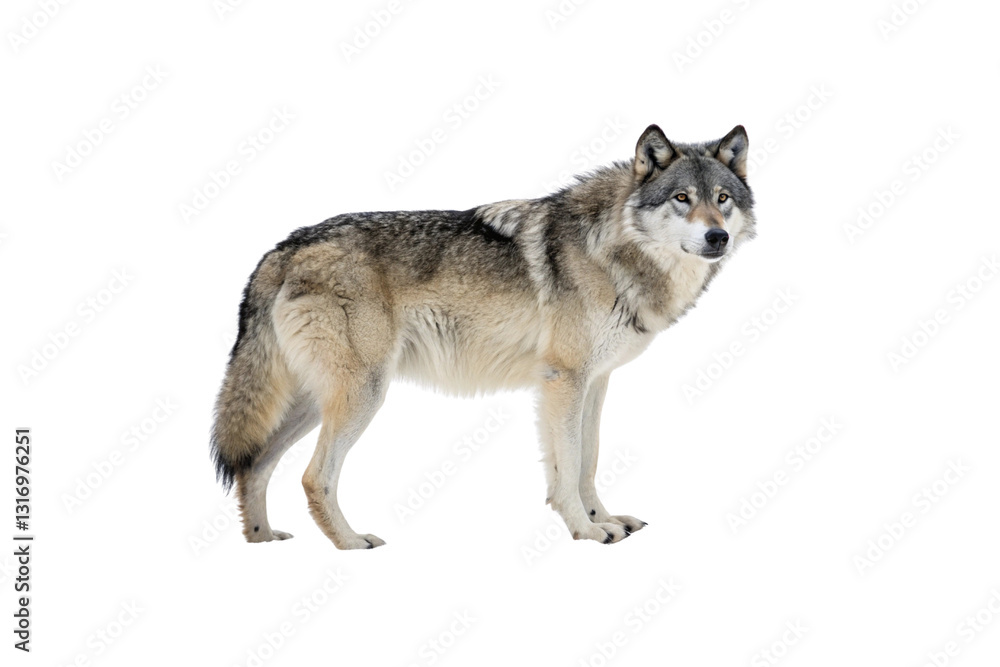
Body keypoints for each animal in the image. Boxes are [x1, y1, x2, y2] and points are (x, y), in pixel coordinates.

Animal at [210, 124, 756, 549]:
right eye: (682, 199)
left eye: (722, 199)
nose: (718, 237)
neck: (613, 249)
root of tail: (284, 247)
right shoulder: (564, 381)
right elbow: (569, 464)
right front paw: (586, 531)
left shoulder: (593, 383)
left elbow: (586, 461)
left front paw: (603, 520)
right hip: (362, 394)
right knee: (312, 476)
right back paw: (350, 542)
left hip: (310, 401)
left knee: (254, 465)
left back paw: (262, 541)